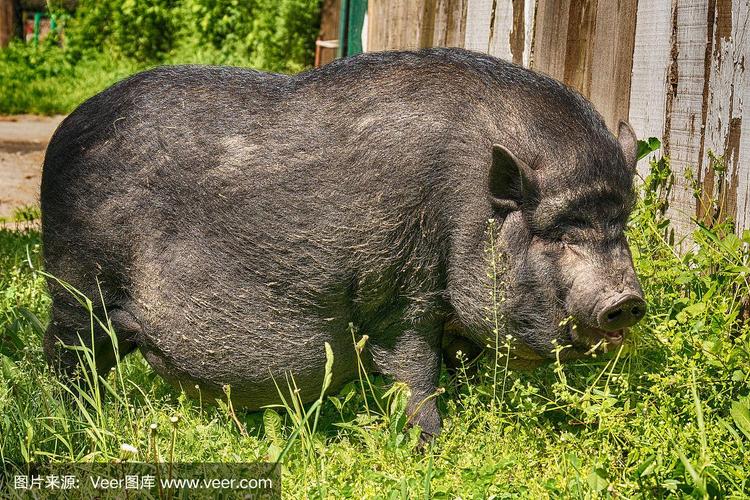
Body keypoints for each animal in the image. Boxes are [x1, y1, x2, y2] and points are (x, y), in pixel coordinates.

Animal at [42, 47, 648, 438]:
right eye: (558, 234)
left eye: (621, 225)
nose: (627, 300)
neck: (468, 205)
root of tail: (67, 129)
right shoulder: (401, 295)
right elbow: (416, 374)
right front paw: (436, 445)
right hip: (78, 287)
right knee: (66, 356)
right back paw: (73, 420)